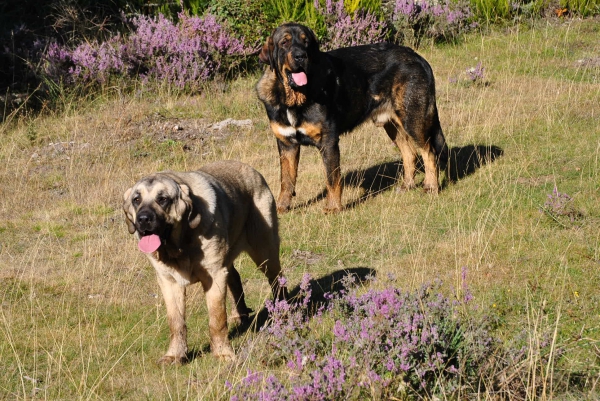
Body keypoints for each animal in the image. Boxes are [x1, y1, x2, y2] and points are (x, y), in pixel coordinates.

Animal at [122, 159, 286, 362]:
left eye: (163, 199)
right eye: (136, 200)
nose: (143, 219)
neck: (180, 245)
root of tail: (251, 170)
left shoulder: (214, 275)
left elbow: (217, 319)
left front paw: (223, 353)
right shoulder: (168, 282)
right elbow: (176, 322)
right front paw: (175, 355)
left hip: (265, 252)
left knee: (277, 279)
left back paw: (282, 309)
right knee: (235, 278)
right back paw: (239, 314)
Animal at [255, 22, 448, 212]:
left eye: (306, 42)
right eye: (284, 43)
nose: (300, 56)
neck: (294, 99)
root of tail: (418, 57)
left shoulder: (328, 141)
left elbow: (332, 178)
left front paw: (333, 208)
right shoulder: (287, 144)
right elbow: (286, 180)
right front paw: (281, 208)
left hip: (413, 120)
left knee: (429, 152)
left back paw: (431, 187)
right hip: (393, 125)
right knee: (410, 154)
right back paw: (407, 186)